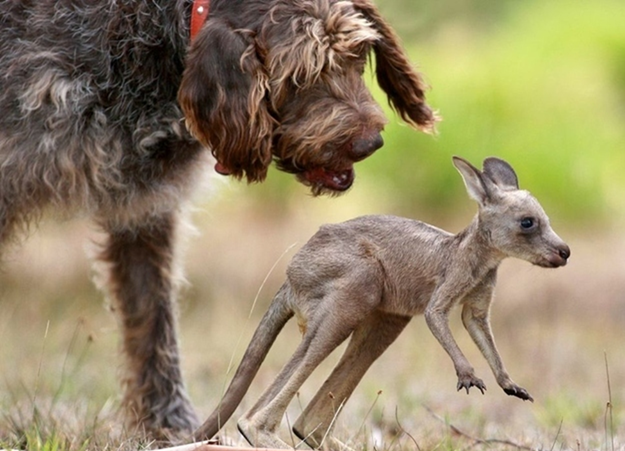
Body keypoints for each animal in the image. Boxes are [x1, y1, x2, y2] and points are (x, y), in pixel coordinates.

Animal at [0, 0, 436, 440]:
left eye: (356, 55)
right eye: (298, 77)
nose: (369, 144)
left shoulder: (144, 213)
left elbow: (153, 322)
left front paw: (169, 427)